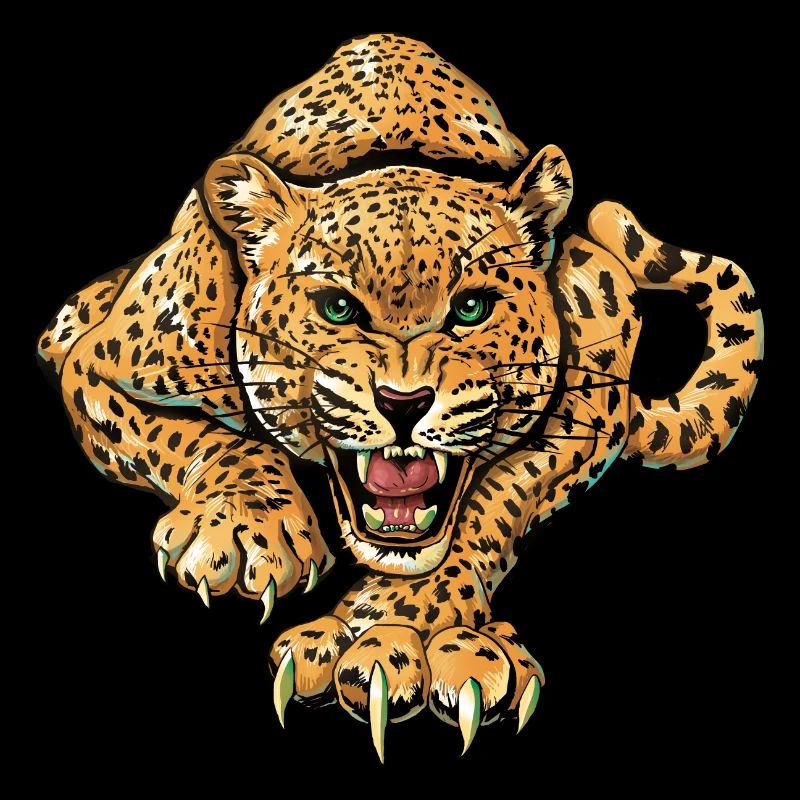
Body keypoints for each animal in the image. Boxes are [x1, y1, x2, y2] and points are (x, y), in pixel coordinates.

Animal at [37, 33, 763, 761]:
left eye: (471, 309)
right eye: (337, 308)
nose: (403, 404)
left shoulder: (590, 409)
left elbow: (491, 507)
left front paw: (393, 636)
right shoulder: (102, 364)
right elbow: (204, 440)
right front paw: (247, 527)